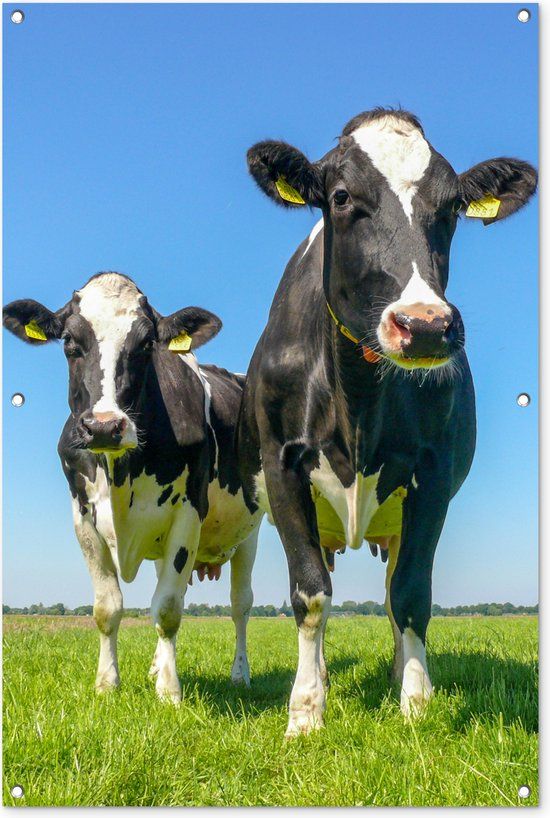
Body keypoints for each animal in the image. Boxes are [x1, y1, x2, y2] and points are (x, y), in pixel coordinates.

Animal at [3, 272, 262, 702]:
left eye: (146, 344)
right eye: (69, 341)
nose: (104, 426)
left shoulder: (188, 513)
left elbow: (169, 607)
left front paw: (170, 692)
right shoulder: (83, 518)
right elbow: (108, 607)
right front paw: (108, 683)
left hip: (251, 532)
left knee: (240, 604)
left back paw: (240, 674)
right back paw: (157, 665)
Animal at [237, 108, 537, 737]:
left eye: (451, 207)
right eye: (342, 197)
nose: (424, 326)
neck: (358, 397)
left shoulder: (433, 476)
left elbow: (411, 594)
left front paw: (416, 702)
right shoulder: (282, 466)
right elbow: (311, 594)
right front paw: (306, 710)